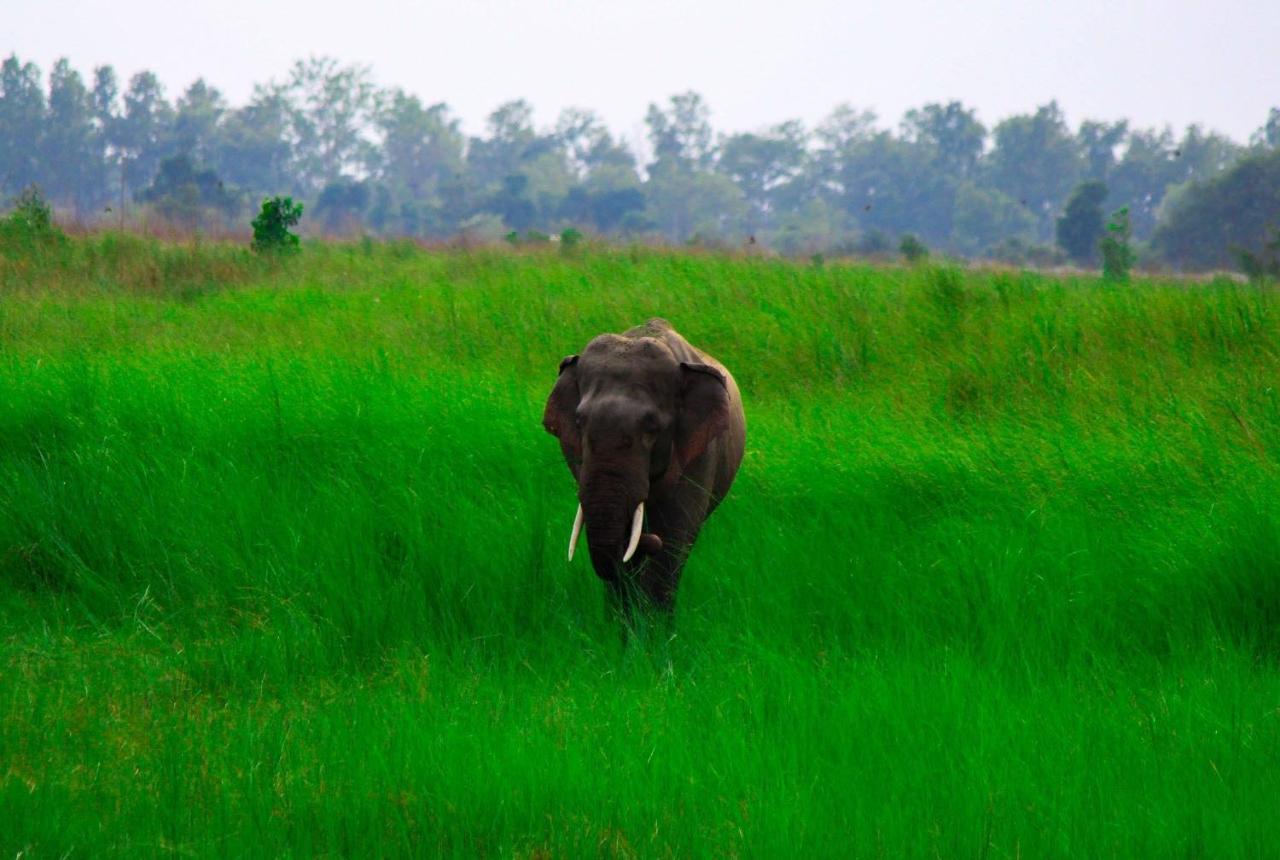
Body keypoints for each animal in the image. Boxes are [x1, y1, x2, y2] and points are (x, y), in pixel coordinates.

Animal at [542, 318, 747, 614]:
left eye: (652, 428)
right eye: (579, 423)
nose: (649, 540)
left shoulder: (700, 455)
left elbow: (672, 543)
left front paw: (654, 625)